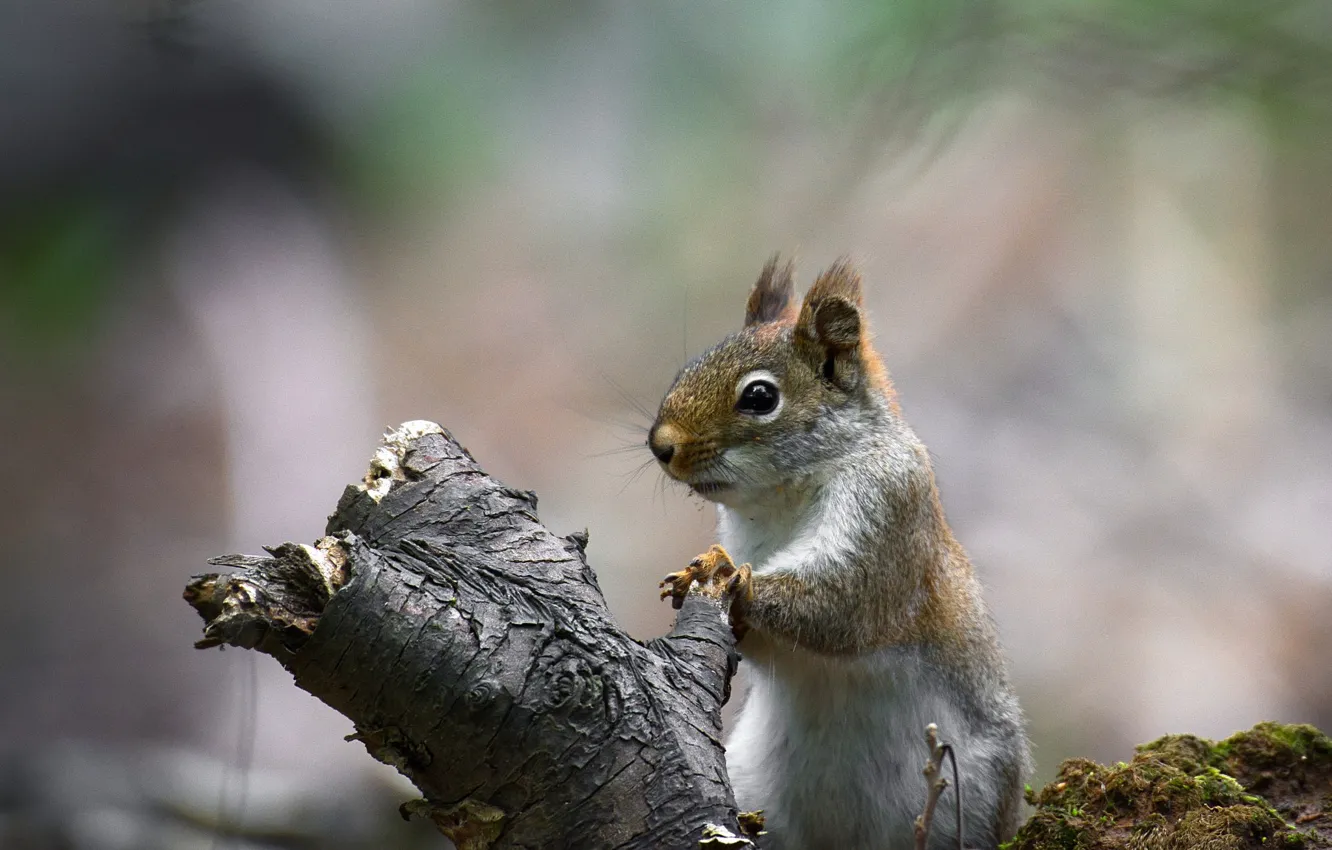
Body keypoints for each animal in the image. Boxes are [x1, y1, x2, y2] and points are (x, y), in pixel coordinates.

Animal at [644, 254, 1028, 850]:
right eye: (691, 364)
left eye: (760, 397)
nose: (661, 445)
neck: (783, 495)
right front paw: (705, 567)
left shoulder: (889, 513)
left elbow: (842, 603)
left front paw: (732, 576)